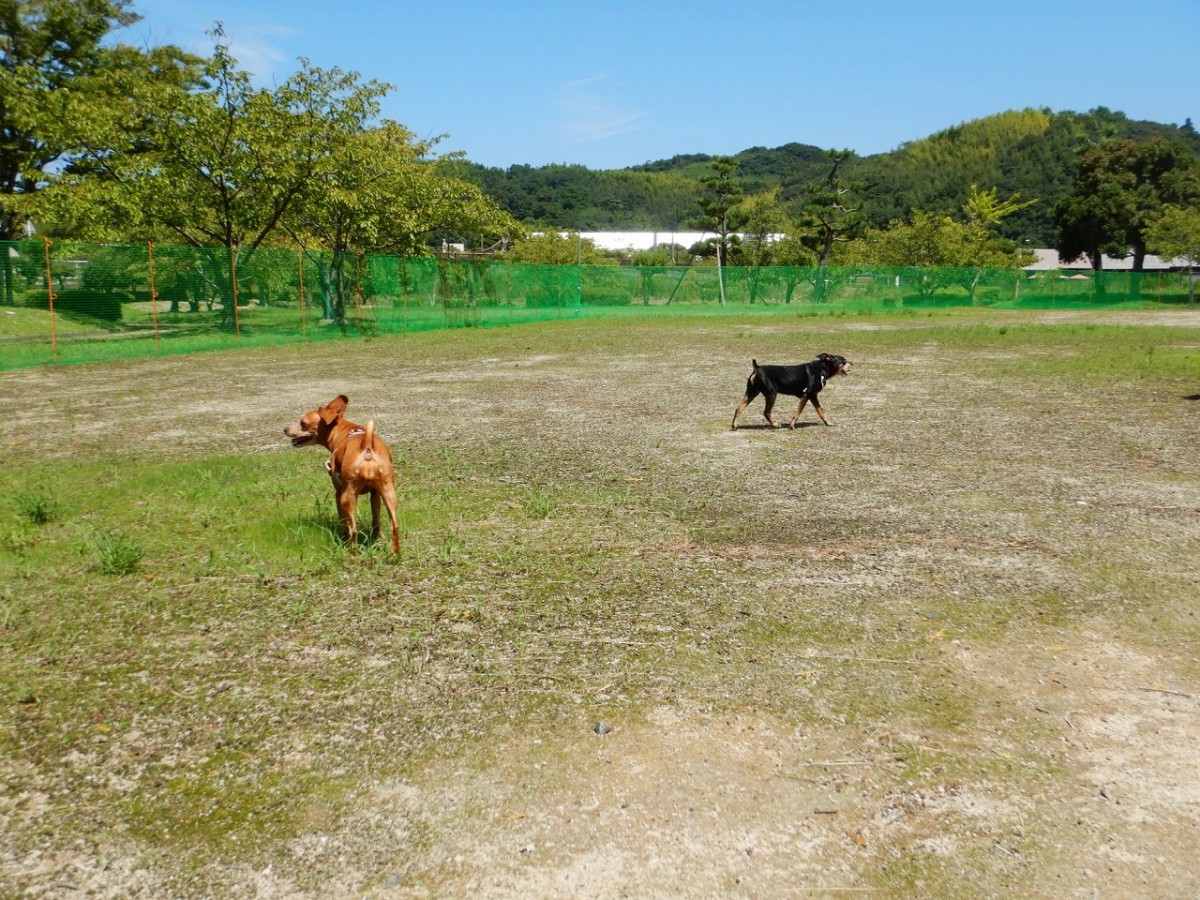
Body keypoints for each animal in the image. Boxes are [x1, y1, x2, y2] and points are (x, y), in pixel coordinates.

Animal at [283, 396, 400, 556]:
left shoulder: (338, 493)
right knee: (394, 526)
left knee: (353, 529)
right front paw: (378, 540)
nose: (285, 429)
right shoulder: (375, 493)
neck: (343, 432)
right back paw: (394, 553)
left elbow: (343, 521)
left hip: (347, 496)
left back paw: (351, 553)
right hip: (389, 493)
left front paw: (342, 537)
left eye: (303, 423)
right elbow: (376, 521)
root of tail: (366, 447)